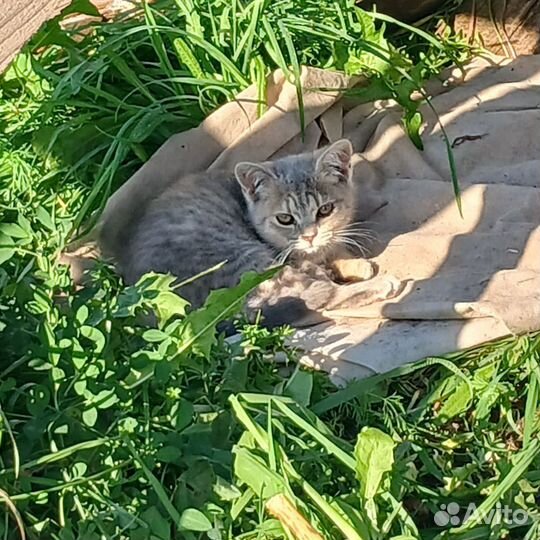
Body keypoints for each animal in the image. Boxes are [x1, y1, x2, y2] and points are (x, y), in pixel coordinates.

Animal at [120, 137, 398, 326]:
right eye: (285, 218)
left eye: (325, 210)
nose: (309, 236)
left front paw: (351, 261)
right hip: (247, 262)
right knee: (320, 295)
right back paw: (379, 285)